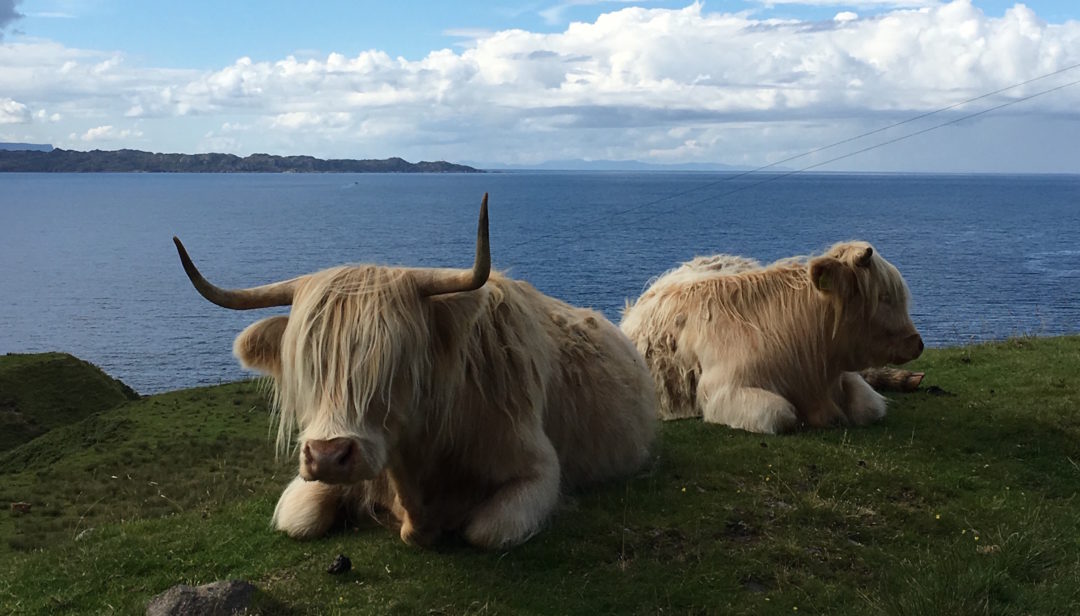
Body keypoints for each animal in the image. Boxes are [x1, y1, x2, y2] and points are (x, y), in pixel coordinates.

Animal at [174, 195, 656, 546]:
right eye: (308, 364)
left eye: (395, 360)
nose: (328, 455)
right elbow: (300, 518)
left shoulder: (537, 470)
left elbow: (486, 532)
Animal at [622, 242, 924, 434]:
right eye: (884, 296)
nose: (917, 343)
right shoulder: (722, 392)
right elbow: (781, 414)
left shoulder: (841, 374)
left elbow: (870, 406)